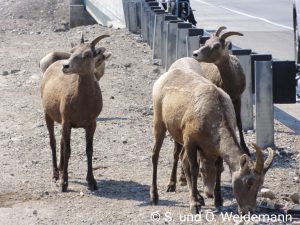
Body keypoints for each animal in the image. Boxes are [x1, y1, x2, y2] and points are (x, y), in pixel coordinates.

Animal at [40, 34, 109, 191]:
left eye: (88, 54)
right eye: (72, 51)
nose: (65, 66)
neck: (83, 103)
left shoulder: (91, 124)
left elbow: (89, 150)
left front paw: (92, 182)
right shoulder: (67, 122)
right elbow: (68, 150)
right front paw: (63, 183)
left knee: (60, 142)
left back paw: (60, 170)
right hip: (48, 115)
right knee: (53, 142)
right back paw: (56, 175)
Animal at [150, 67, 274, 214]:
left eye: (261, 183)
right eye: (248, 182)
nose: (247, 210)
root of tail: (163, 78)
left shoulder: (215, 148)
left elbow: (218, 167)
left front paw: (218, 200)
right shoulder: (190, 141)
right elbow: (194, 168)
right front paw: (194, 205)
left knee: (181, 157)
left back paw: (196, 196)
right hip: (159, 121)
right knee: (156, 155)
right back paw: (155, 196)